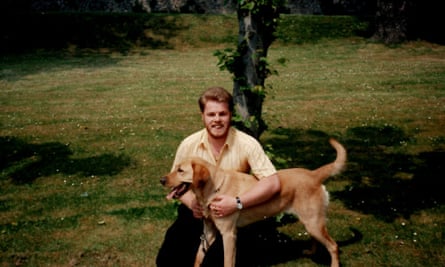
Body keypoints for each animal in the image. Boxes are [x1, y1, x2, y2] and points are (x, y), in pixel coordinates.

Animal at [161, 139, 346, 266]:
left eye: (180, 170)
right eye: (175, 168)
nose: (161, 180)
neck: (213, 189)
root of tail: (313, 174)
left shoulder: (228, 234)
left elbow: (228, 262)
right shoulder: (209, 231)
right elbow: (198, 256)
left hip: (313, 222)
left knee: (333, 246)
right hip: (311, 222)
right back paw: (311, 251)